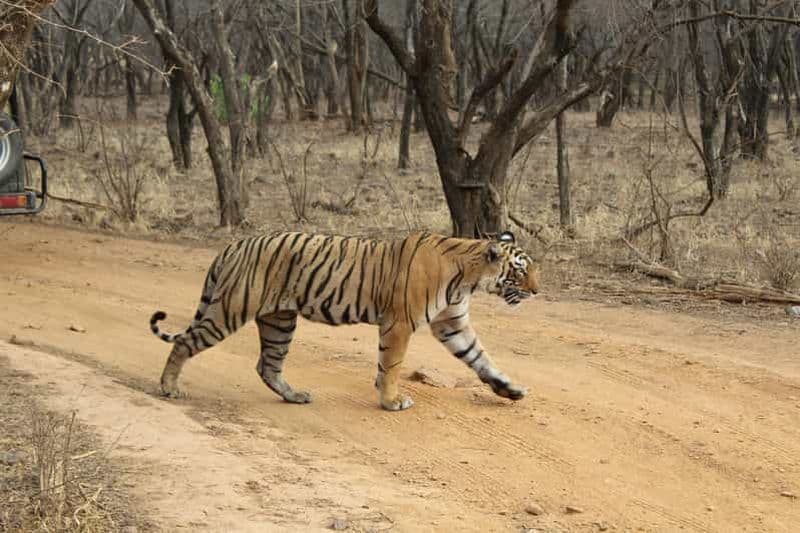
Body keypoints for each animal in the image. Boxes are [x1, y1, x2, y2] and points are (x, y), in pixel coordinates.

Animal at [149, 230, 539, 411]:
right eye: (521, 271)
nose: (538, 291)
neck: (469, 277)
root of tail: (233, 245)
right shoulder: (399, 322)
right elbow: (392, 365)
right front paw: (391, 401)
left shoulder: (452, 324)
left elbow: (481, 358)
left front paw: (510, 389)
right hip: (230, 309)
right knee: (186, 342)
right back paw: (168, 387)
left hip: (280, 321)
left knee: (267, 365)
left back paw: (295, 396)